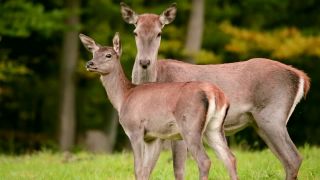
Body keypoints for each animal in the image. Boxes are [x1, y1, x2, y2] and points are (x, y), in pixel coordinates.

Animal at [80, 32, 239, 180]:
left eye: (108, 55)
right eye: (93, 53)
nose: (89, 64)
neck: (123, 98)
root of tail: (216, 94)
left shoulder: (135, 129)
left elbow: (137, 169)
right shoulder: (152, 137)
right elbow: (145, 170)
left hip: (190, 126)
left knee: (205, 161)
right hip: (214, 127)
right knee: (230, 158)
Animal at [120, 2, 310, 180]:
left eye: (159, 33)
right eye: (135, 32)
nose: (144, 62)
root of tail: (302, 77)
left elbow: (178, 169)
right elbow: (146, 170)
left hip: (272, 116)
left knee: (293, 158)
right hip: (260, 123)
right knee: (287, 160)